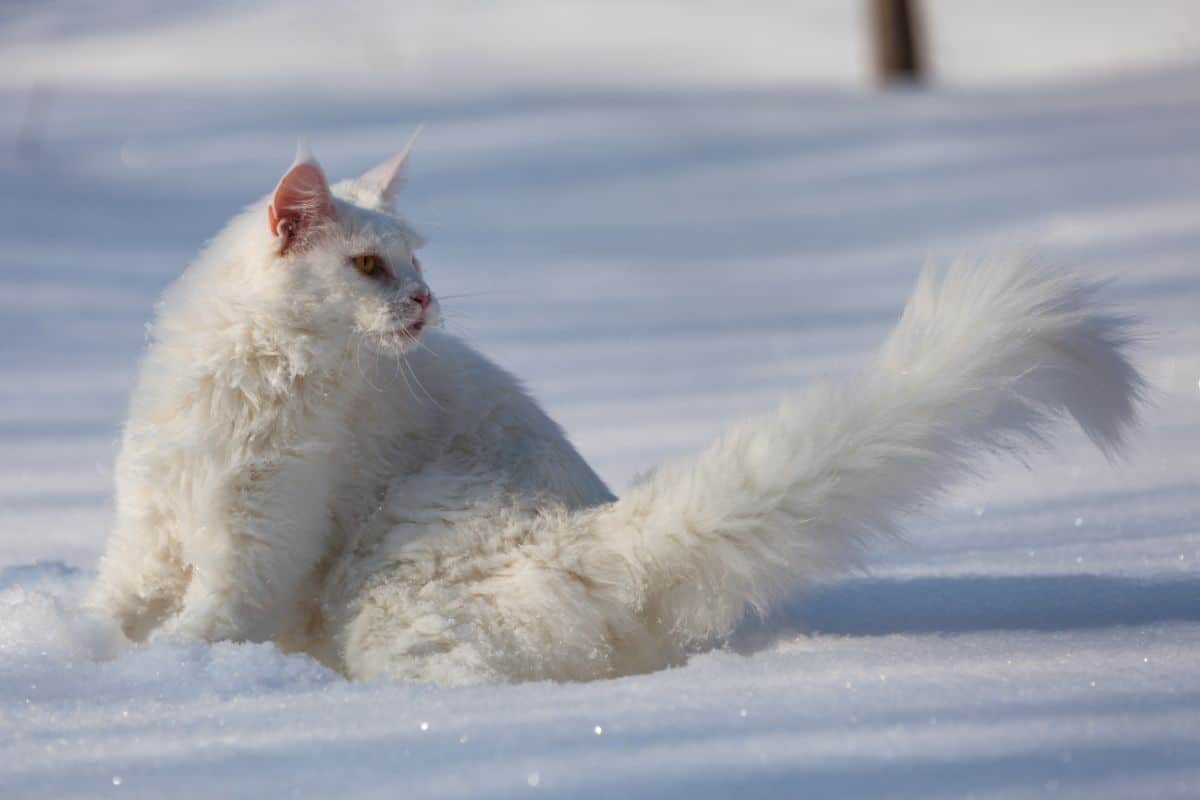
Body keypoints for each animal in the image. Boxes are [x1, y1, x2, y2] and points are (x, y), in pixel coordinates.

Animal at [91, 142, 1142, 681]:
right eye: (368, 265)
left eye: (416, 262)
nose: (425, 302)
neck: (248, 377)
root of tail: (601, 537)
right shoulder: (151, 524)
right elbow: (115, 605)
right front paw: (76, 655)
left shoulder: (257, 541)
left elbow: (204, 621)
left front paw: (152, 677)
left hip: (390, 581)